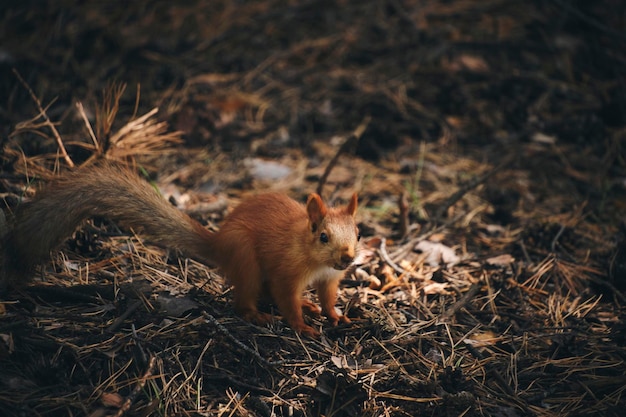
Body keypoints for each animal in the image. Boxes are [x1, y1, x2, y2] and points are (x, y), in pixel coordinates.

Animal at [0, 161, 358, 336]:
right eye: (323, 236)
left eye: (357, 232)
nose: (348, 257)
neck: (314, 258)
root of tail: (218, 242)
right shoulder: (287, 271)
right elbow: (286, 300)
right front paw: (302, 327)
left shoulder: (329, 278)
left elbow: (328, 297)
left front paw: (334, 315)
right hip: (245, 257)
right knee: (245, 299)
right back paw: (256, 315)